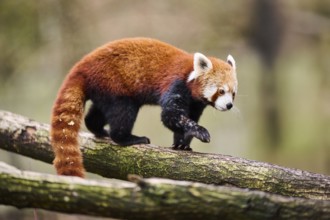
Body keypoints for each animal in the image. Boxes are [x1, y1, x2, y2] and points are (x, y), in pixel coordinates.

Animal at [51, 37, 237, 177]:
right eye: (221, 91)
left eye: (233, 93)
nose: (229, 105)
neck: (190, 76)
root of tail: (82, 65)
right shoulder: (176, 85)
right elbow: (170, 115)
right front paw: (199, 131)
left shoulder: (195, 103)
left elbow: (186, 118)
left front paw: (182, 143)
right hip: (114, 84)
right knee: (123, 113)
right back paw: (128, 138)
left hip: (104, 89)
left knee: (98, 113)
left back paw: (98, 129)